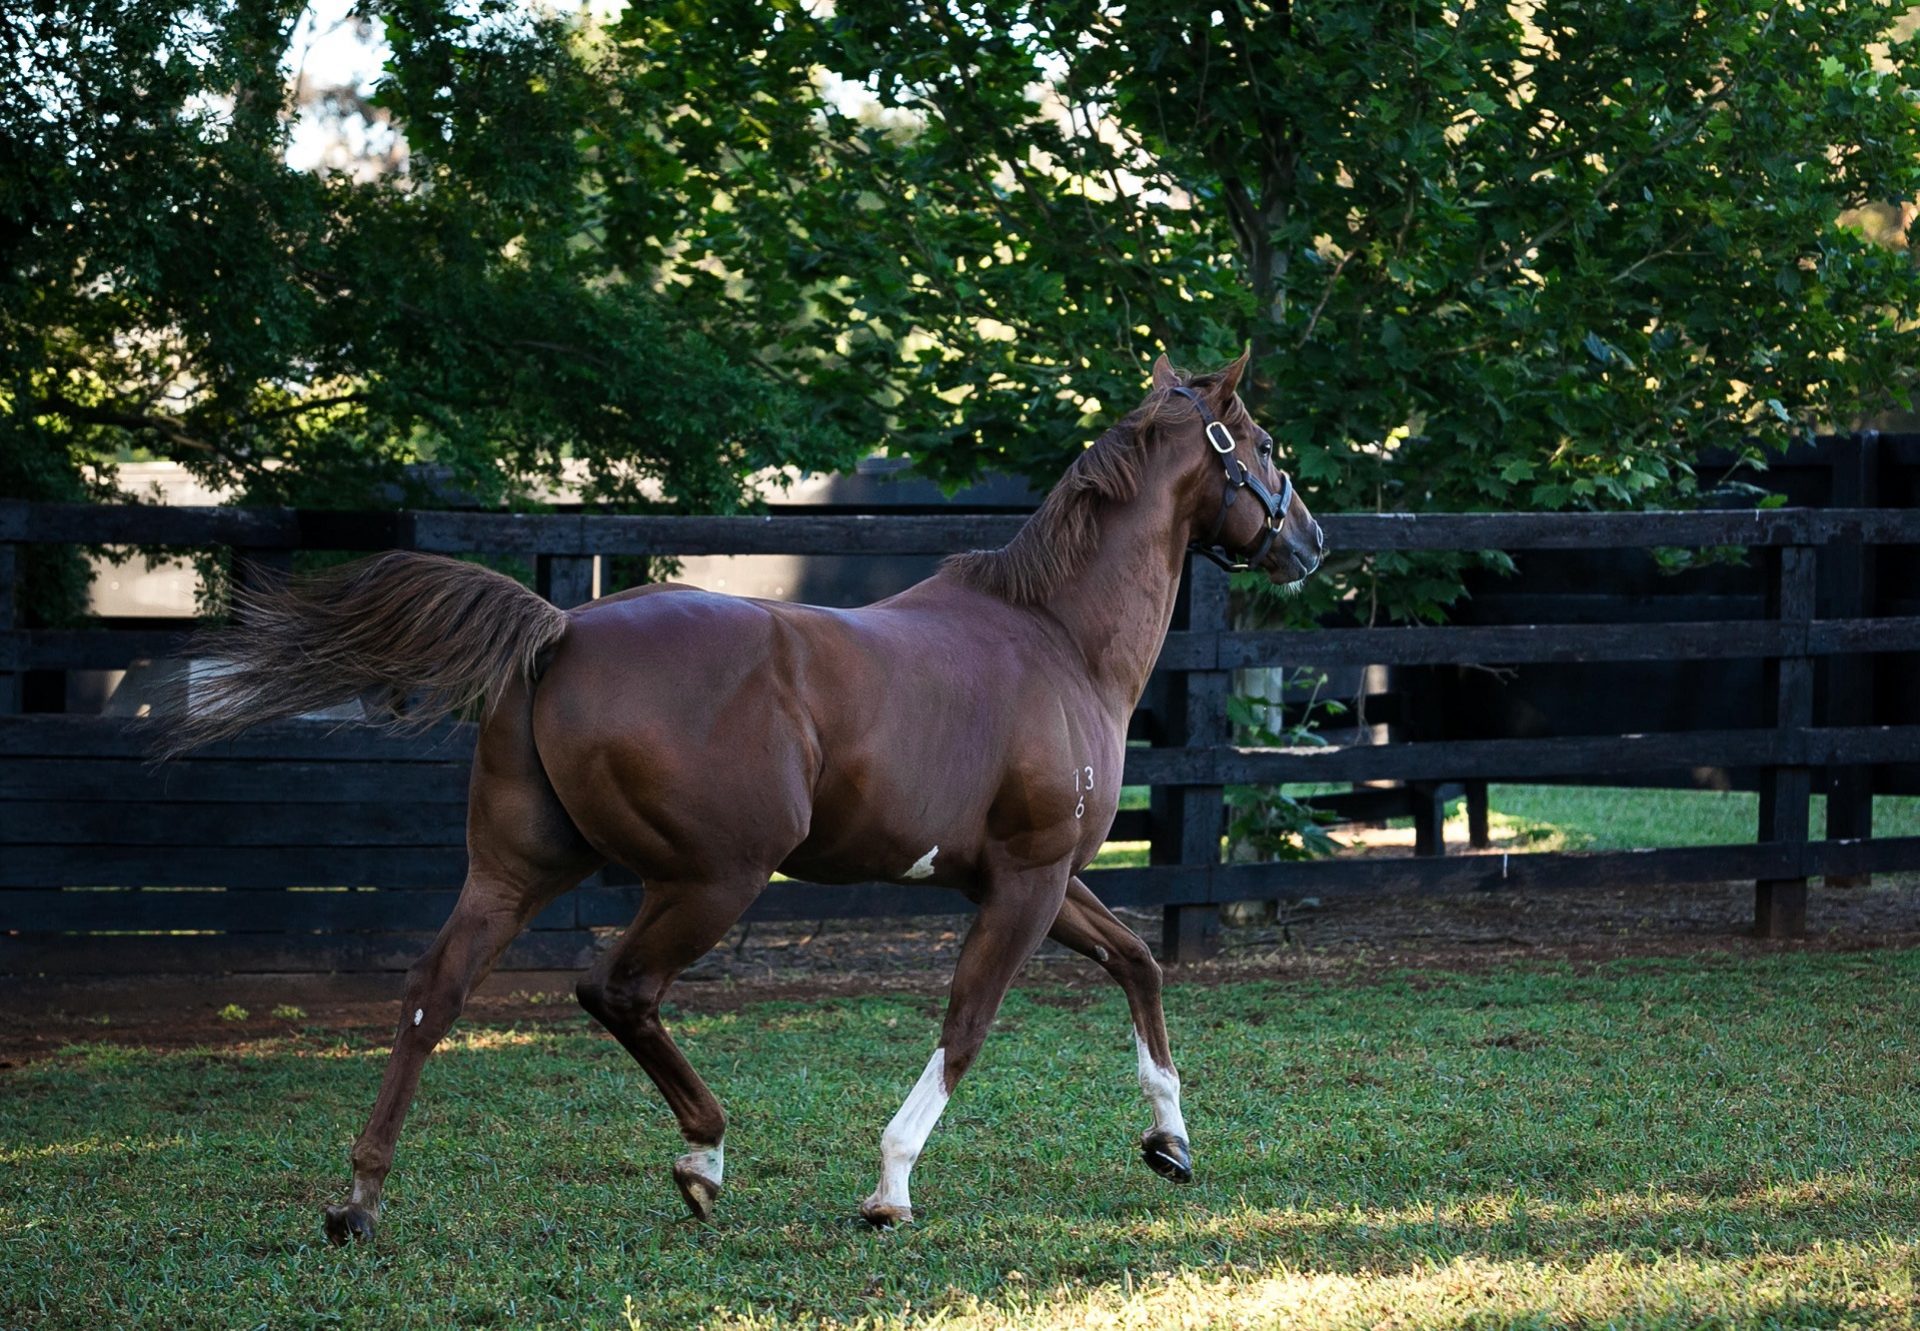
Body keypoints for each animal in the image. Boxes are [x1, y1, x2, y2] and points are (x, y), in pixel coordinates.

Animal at [168, 349, 1320, 1236]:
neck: (1057, 637)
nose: (1309, 542)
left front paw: (1170, 1141)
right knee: (616, 989)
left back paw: (360, 1199)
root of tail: (563, 630)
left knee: (430, 995)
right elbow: (968, 1021)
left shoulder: (1032, 874)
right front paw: (889, 1189)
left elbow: (1136, 962)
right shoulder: (1027, 881)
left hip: (517, 868)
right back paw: (703, 1157)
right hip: (714, 878)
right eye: (1265, 446)